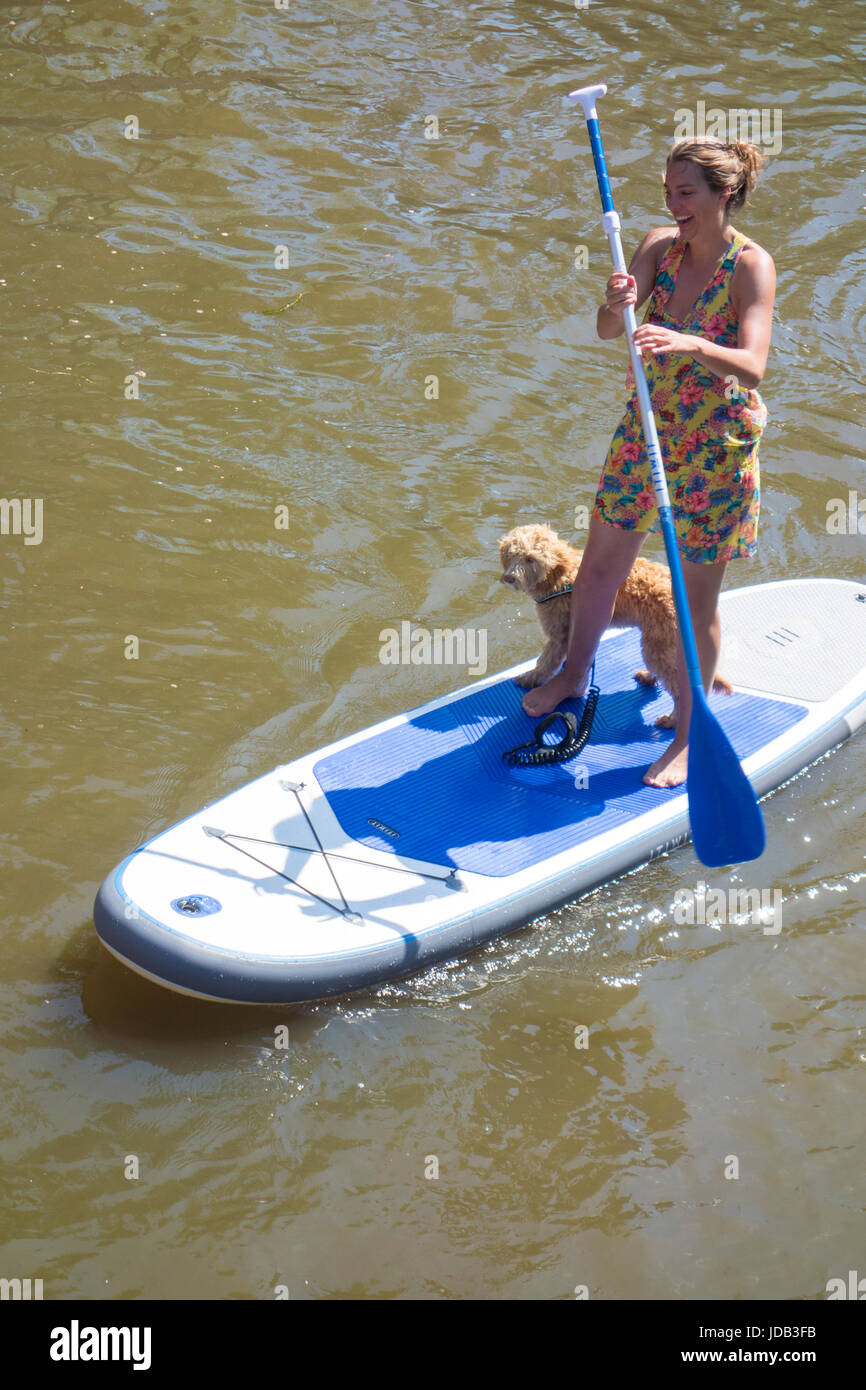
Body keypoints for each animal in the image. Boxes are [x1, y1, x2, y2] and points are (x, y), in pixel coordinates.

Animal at [500, 522, 733, 733]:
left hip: (657, 644)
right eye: (512, 555)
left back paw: (672, 720)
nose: (509, 578)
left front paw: (529, 678)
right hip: (663, 641)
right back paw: (649, 678)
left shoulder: (559, 635)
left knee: (678, 689)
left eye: (530, 559)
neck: (560, 576)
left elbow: (546, 663)